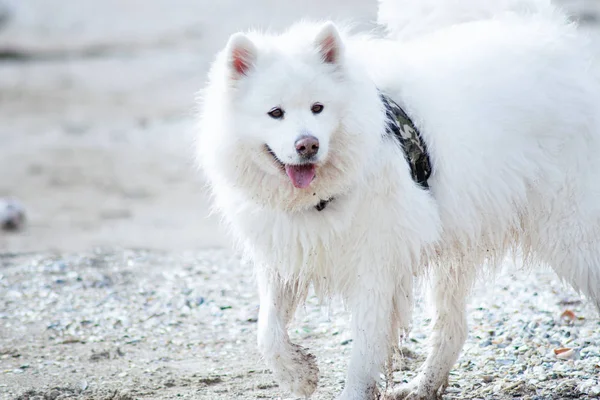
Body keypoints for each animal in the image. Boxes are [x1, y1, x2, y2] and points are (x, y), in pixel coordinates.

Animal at [197, 0, 600, 396]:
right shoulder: (284, 257)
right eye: (275, 113)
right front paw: (299, 375)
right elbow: (267, 331)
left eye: (318, 108)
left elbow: (362, 355)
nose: (307, 144)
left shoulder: (375, 266)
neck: (320, 197)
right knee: (453, 329)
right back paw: (422, 385)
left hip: (572, 236)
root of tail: (554, 38)